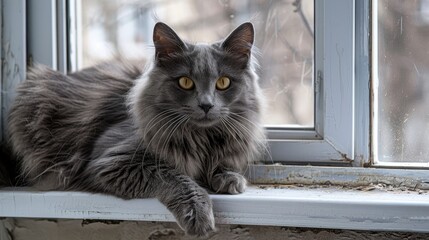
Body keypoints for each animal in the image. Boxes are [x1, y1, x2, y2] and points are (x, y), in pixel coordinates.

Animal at [7, 22, 264, 236]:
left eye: (223, 82)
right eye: (185, 82)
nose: (206, 105)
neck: (200, 137)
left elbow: (220, 165)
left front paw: (229, 179)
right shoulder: (113, 161)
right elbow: (177, 177)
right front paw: (199, 214)